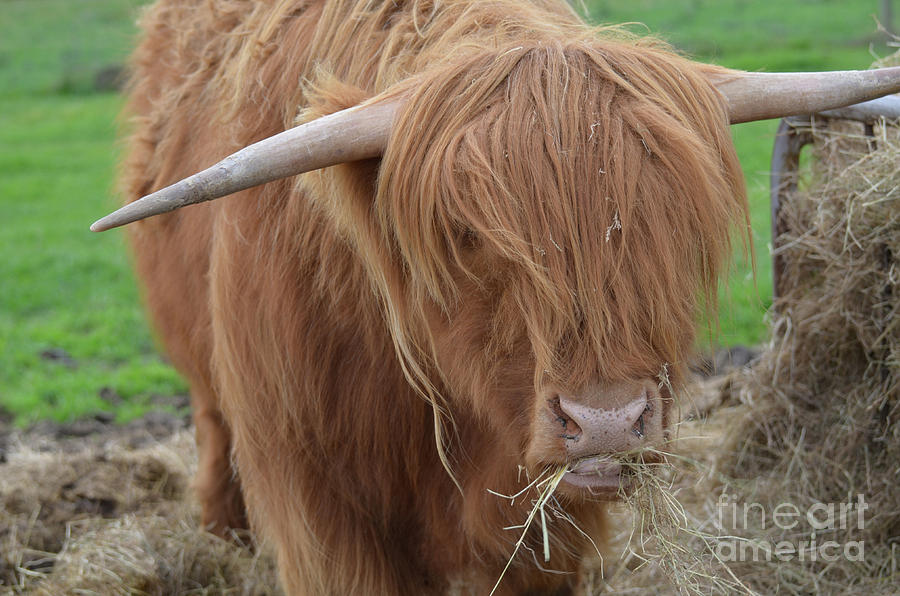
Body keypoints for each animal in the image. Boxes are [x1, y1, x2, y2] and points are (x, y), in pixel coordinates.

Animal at [93, 1, 900, 593]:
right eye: (467, 236)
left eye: (672, 219)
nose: (607, 422)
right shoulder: (321, 507)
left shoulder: (542, 535)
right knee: (210, 424)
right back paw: (221, 535)